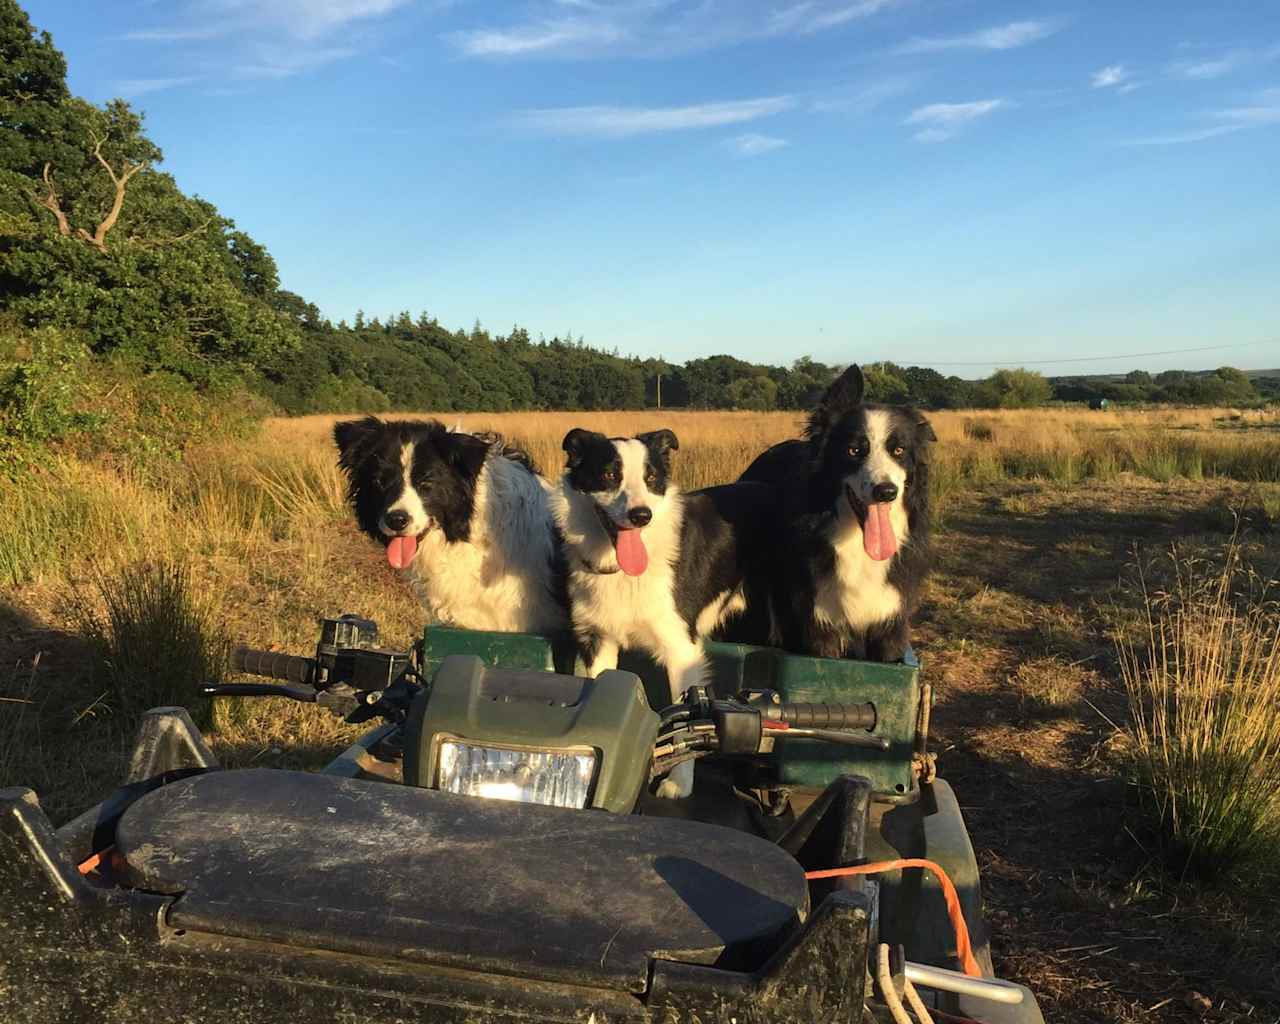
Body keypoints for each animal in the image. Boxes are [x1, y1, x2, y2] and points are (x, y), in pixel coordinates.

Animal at [552, 424, 773, 798]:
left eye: (651, 477)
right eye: (609, 475)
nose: (641, 516)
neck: (623, 571)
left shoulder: (681, 650)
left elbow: (689, 716)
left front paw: (679, 784)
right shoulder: (597, 641)